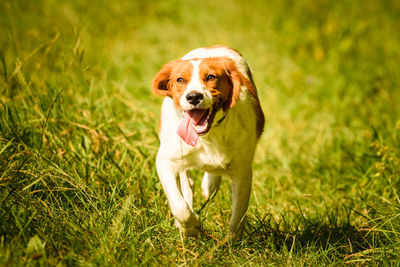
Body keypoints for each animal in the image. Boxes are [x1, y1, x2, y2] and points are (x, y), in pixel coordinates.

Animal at [152, 46, 264, 239]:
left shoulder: (242, 172)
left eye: (211, 77)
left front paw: (230, 243)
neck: (208, 136)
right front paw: (191, 227)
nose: (193, 97)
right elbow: (180, 206)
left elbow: (237, 218)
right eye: (180, 79)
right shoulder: (165, 161)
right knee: (187, 184)